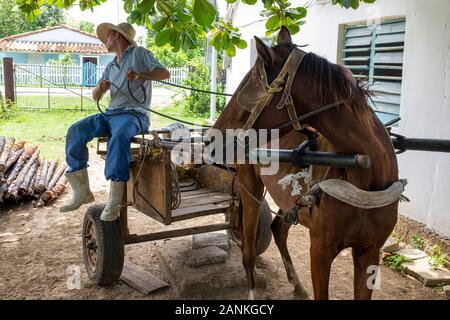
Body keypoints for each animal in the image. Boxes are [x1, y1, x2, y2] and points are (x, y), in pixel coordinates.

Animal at [213, 26, 400, 300]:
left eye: (248, 85)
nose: (210, 138)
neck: (365, 175)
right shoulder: (320, 251)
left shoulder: (370, 251)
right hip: (249, 186)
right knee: (248, 252)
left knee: (278, 230)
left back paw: (298, 286)